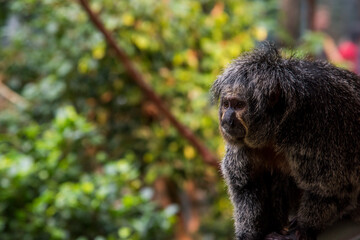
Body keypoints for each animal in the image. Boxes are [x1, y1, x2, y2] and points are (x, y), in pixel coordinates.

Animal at [211, 43, 360, 240]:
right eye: (227, 104)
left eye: (238, 105)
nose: (226, 119)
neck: (277, 130)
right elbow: (246, 185)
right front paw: (250, 234)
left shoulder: (318, 126)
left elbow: (332, 189)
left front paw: (305, 227)